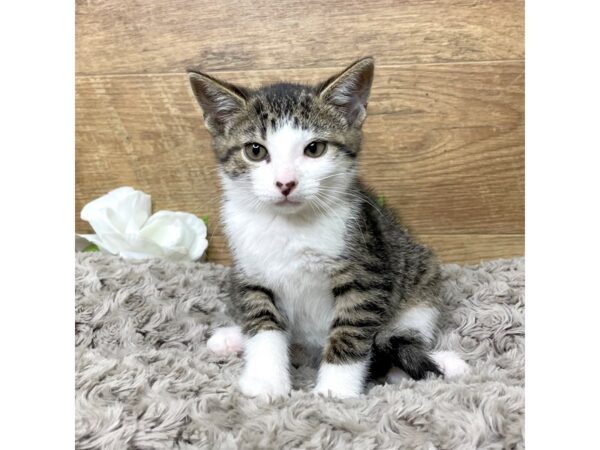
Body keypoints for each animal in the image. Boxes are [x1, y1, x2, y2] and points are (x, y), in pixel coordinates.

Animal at [188, 58, 468, 400]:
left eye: (314, 149)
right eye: (255, 150)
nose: (285, 183)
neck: (290, 226)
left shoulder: (366, 271)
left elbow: (351, 331)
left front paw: (336, 391)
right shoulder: (250, 274)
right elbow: (263, 324)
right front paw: (266, 380)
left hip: (421, 276)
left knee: (401, 337)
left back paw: (433, 365)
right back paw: (233, 337)